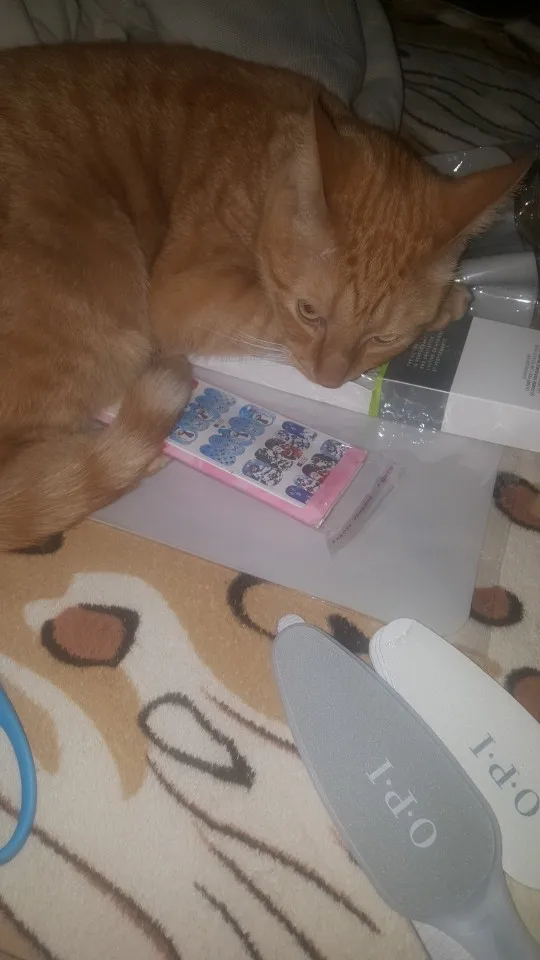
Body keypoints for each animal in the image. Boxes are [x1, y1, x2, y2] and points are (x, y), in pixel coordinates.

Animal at [0, 43, 528, 550]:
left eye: (383, 338)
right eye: (308, 312)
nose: (330, 381)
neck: (265, 160)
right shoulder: (184, 293)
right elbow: (266, 316)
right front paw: (452, 302)